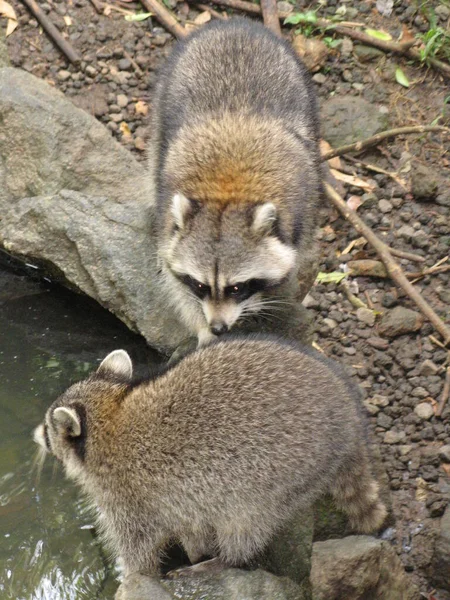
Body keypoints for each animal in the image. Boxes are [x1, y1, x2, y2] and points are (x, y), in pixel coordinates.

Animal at [35, 338, 386, 576]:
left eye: (49, 428)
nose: (36, 435)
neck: (109, 416)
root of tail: (349, 416)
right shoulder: (180, 498)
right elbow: (193, 528)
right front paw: (195, 549)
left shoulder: (128, 497)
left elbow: (139, 547)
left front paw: (131, 574)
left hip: (277, 474)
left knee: (245, 524)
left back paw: (225, 560)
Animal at [149, 18, 322, 344]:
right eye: (201, 286)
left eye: (237, 288)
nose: (219, 327)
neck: (228, 192)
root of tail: (233, 22)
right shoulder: (168, 204)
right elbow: (171, 275)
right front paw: (201, 327)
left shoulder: (302, 208)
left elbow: (291, 265)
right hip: (163, 96)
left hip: (303, 91)